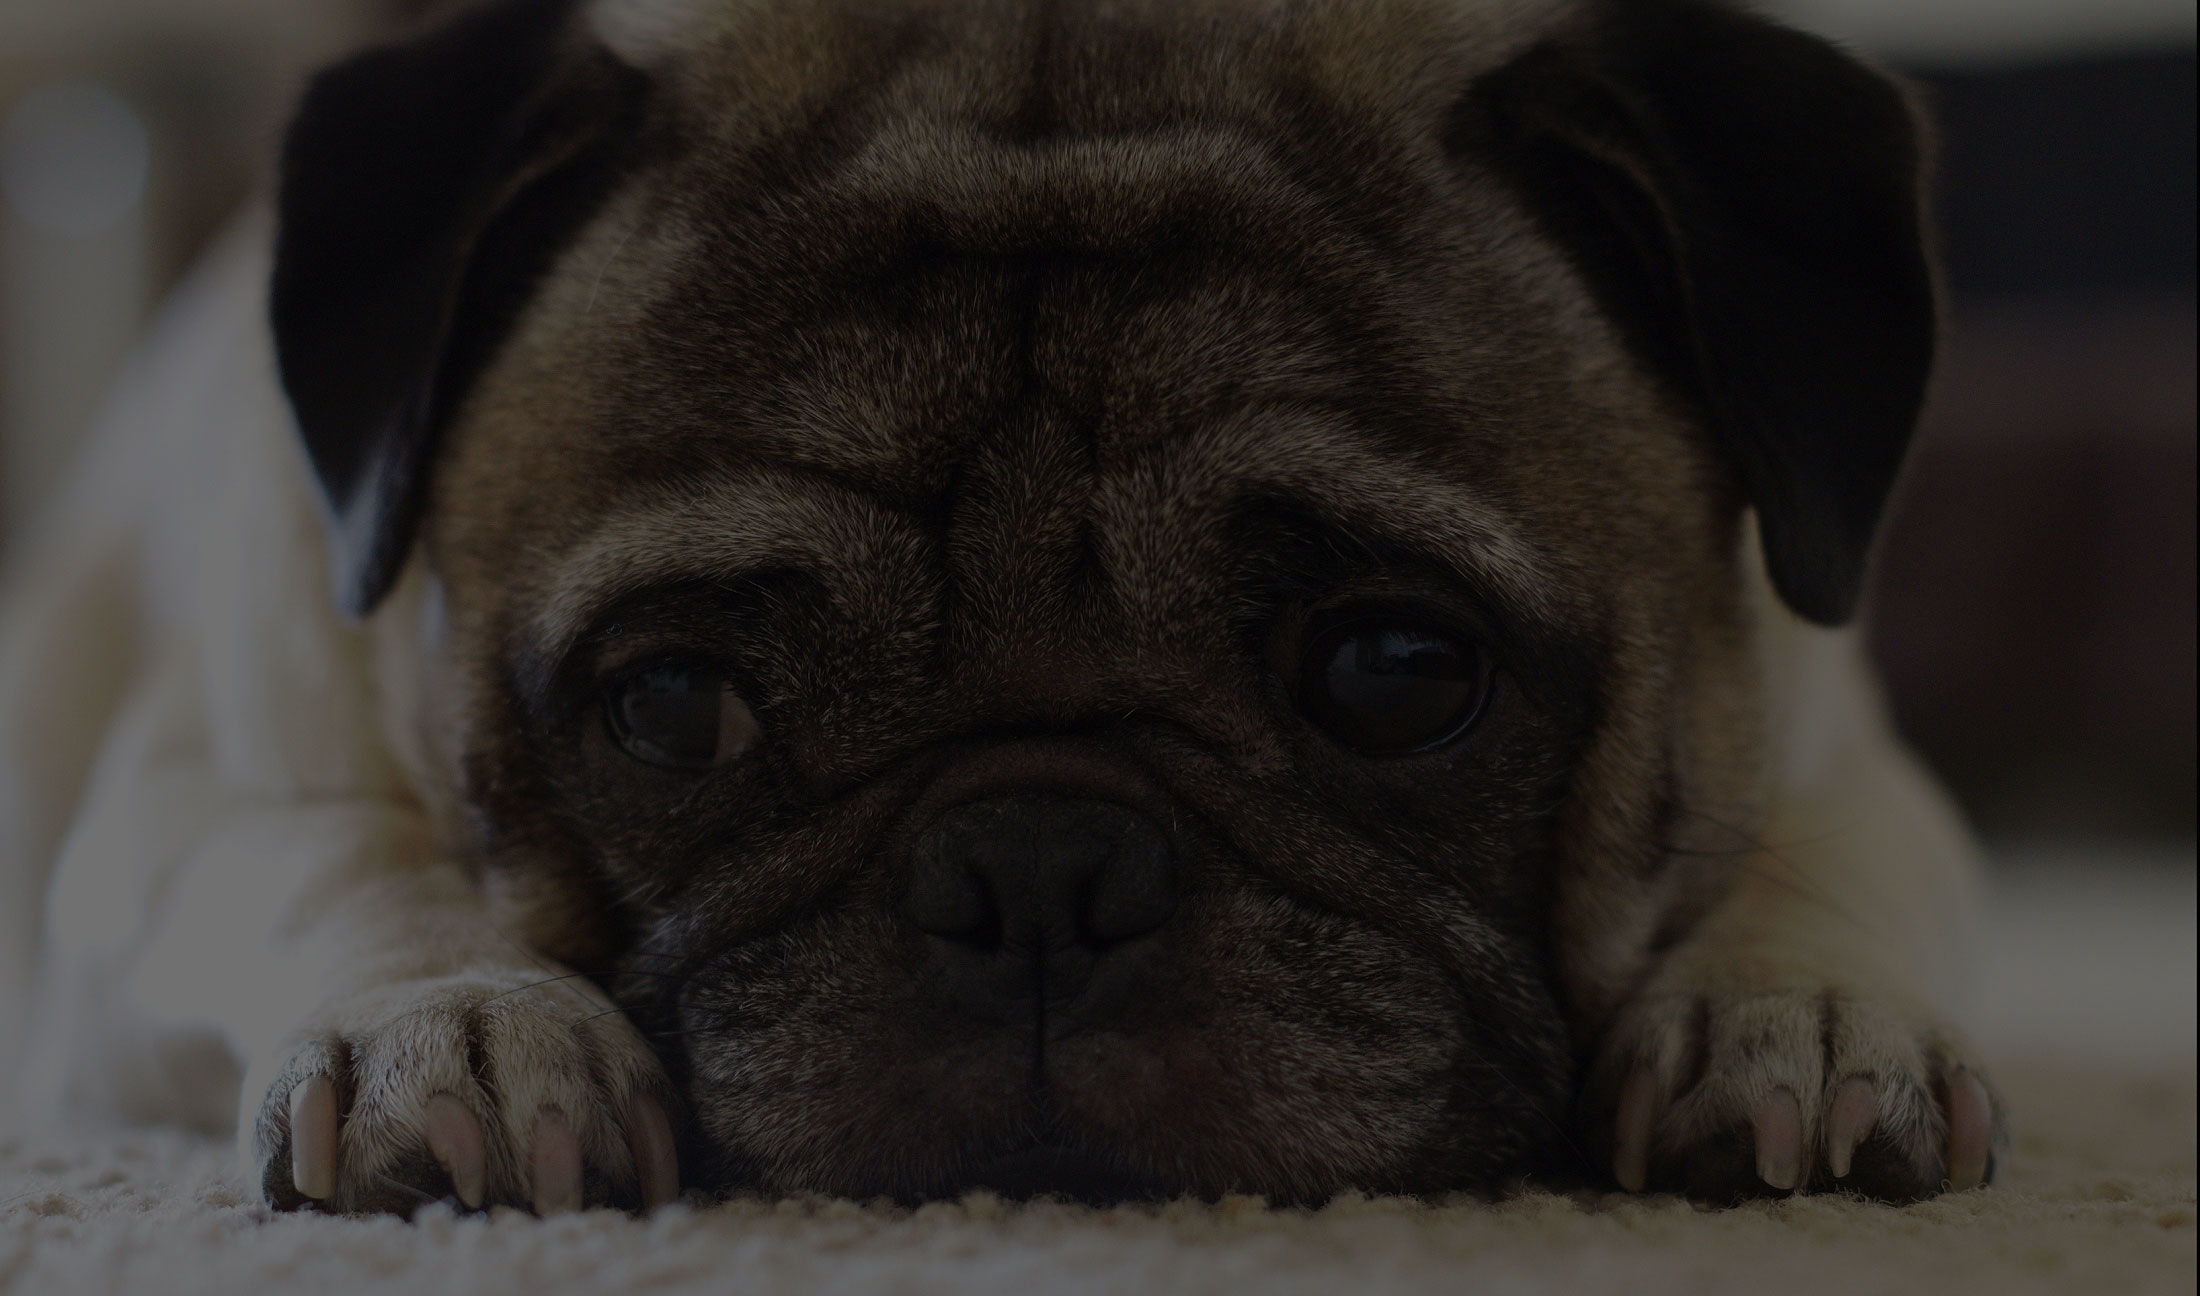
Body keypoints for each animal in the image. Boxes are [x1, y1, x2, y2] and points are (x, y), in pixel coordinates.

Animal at [4, 0, 1997, 1214]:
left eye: (1396, 670)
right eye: (675, 706)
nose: (1038, 864)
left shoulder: (1850, 751)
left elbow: (1825, 866)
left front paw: (1791, 1011)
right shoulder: (167, 821)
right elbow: (333, 854)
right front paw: (460, 1018)